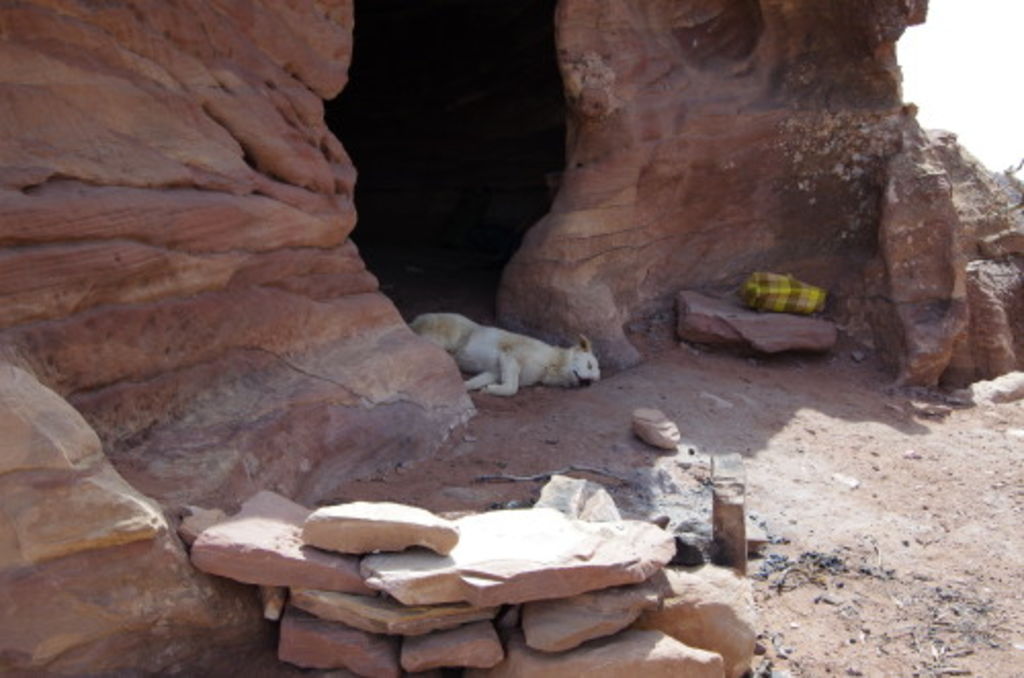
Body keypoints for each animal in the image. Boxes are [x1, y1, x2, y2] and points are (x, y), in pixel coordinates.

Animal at [409, 313, 598, 399]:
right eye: (589, 365)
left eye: (593, 381)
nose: (586, 383)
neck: (552, 363)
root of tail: (414, 321)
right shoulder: (510, 355)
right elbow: (512, 388)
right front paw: (493, 390)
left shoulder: (494, 371)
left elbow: (479, 380)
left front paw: (480, 388)